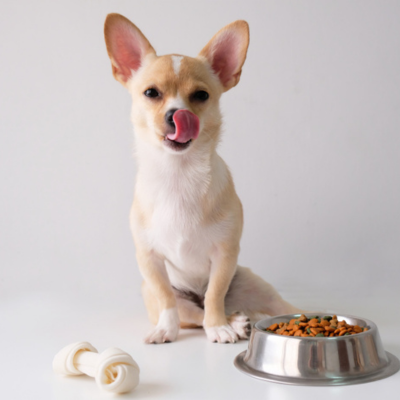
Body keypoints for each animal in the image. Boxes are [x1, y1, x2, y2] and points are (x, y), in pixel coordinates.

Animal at [103, 14, 300, 342]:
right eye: (151, 93)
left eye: (201, 96)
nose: (177, 114)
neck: (178, 174)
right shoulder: (150, 261)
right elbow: (167, 298)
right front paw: (167, 330)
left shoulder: (225, 256)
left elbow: (215, 294)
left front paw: (219, 326)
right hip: (160, 294)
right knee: (194, 314)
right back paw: (235, 322)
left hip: (251, 282)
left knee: (263, 305)